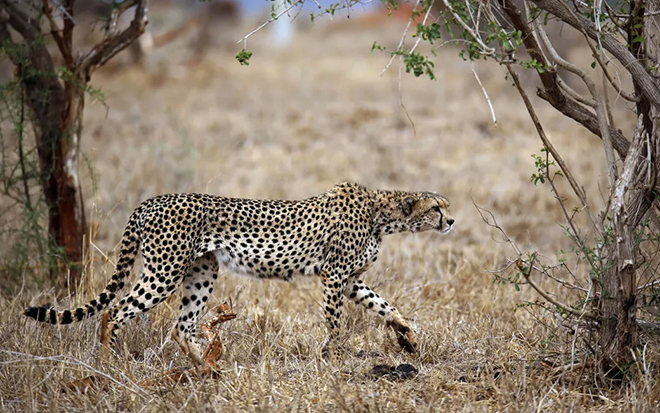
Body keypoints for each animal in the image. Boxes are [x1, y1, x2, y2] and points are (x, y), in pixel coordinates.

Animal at [23, 182, 452, 362]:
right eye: (437, 207)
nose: (451, 221)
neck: (384, 214)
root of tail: (151, 200)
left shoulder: (349, 280)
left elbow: (386, 305)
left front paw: (409, 339)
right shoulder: (334, 276)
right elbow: (336, 321)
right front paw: (334, 355)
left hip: (201, 273)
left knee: (182, 325)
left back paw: (207, 363)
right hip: (164, 271)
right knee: (115, 311)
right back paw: (110, 361)